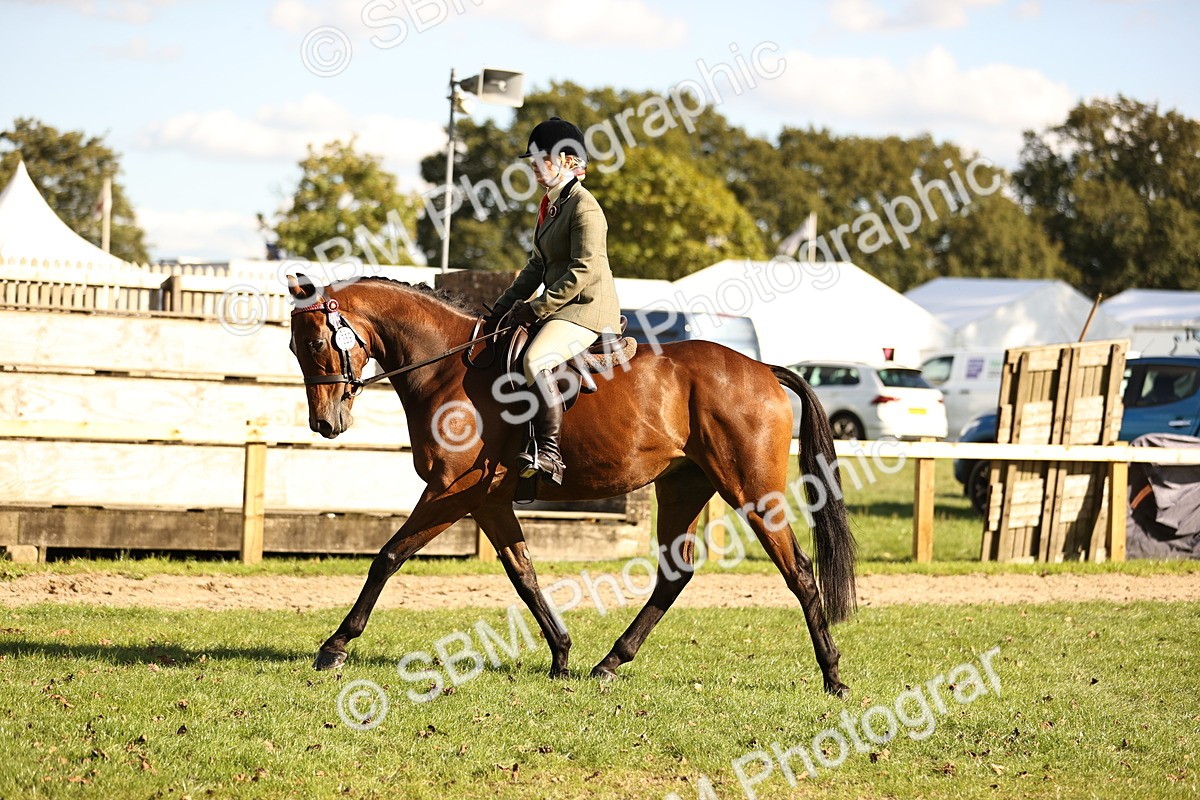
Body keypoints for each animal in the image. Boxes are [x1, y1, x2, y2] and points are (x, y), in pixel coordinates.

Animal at [285, 274, 857, 697]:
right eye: (294, 346)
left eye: (314, 342)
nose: (324, 423)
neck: (447, 370)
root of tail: (761, 368)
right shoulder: (488, 502)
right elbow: (524, 575)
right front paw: (560, 652)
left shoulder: (452, 493)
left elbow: (387, 556)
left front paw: (335, 646)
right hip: (682, 488)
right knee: (674, 575)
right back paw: (610, 662)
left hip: (753, 492)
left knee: (799, 572)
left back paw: (832, 674)